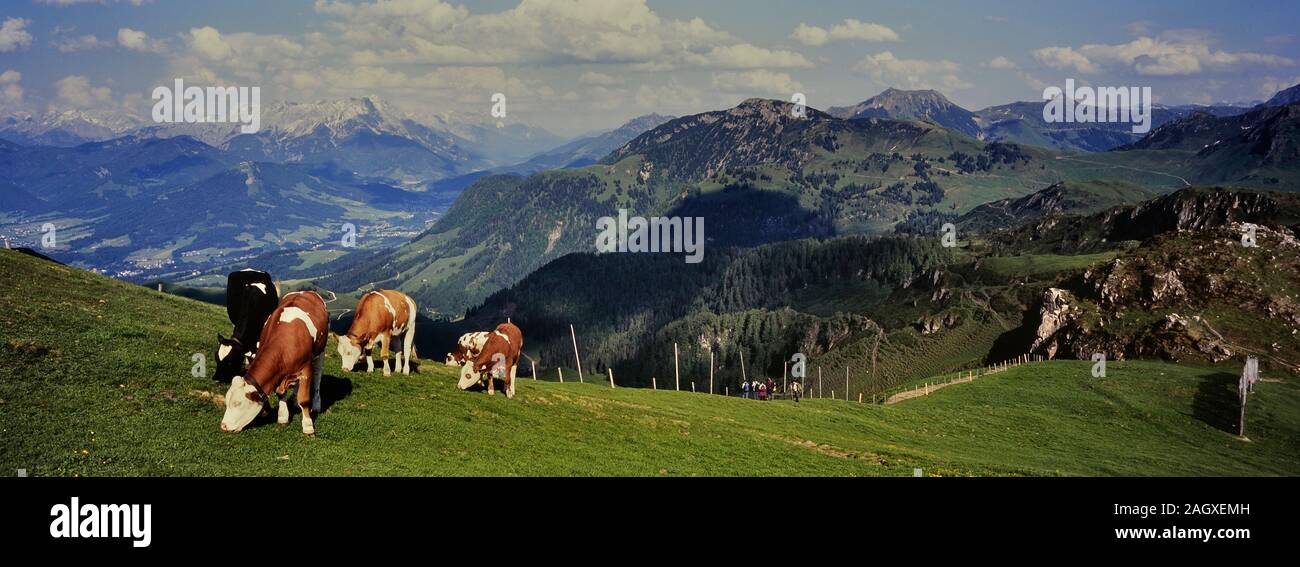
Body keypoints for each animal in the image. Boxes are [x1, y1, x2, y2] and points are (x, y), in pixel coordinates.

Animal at [220, 290, 330, 436]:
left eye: (238, 403)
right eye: (227, 401)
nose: (223, 426)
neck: (284, 343)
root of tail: (307, 292)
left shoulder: (306, 368)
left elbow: (304, 399)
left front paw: (308, 426)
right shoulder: (280, 374)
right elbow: (280, 394)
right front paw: (283, 417)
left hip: (320, 351)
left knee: (317, 377)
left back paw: (316, 403)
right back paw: (294, 400)